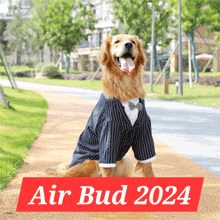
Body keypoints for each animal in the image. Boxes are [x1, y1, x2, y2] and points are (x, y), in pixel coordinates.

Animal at [47, 34, 156, 179]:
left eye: (133, 42)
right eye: (117, 42)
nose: (128, 45)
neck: (127, 86)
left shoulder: (144, 131)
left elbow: (148, 166)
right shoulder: (108, 130)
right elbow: (107, 166)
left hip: (125, 160)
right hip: (91, 161)